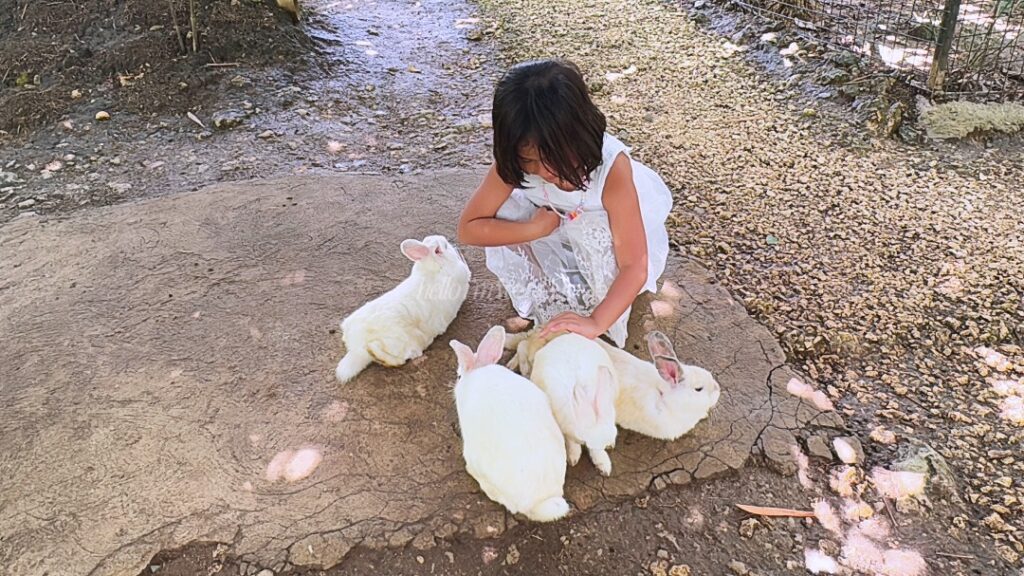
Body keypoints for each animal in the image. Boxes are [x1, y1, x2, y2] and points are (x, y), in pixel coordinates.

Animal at [336, 235, 470, 383]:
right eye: (442, 247)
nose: (450, 243)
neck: (435, 266)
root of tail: (357, 350)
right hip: (398, 343)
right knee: (394, 360)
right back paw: (375, 351)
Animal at [530, 333, 620, 476]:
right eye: (589, 441)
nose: (607, 443)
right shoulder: (566, 427)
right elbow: (572, 442)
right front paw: (573, 457)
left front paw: (604, 464)